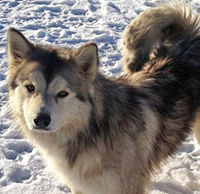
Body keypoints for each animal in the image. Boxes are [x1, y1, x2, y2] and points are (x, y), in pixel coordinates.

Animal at [7, 0, 200, 193]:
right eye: (30, 88)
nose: (41, 120)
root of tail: (187, 40)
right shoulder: (78, 186)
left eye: (63, 93)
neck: (92, 130)